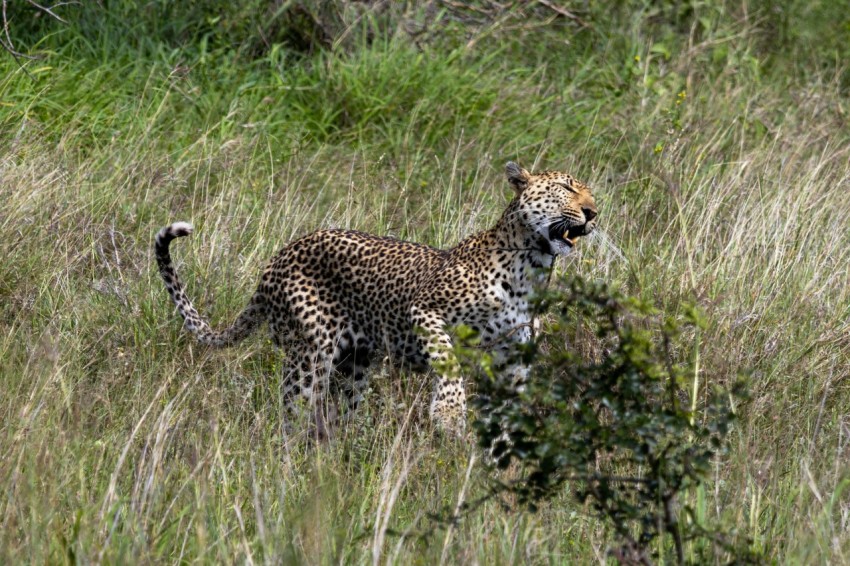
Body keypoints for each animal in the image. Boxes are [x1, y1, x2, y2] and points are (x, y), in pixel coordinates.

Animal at [155, 161, 598, 435]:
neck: (531, 266)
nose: (594, 213)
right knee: (294, 411)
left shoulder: (513, 356)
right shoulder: (426, 309)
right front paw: (449, 413)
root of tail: (279, 256)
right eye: (566, 188)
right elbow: (448, 360)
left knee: (337, 414)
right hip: (310, 353)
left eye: (592, 194)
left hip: (354, 364)